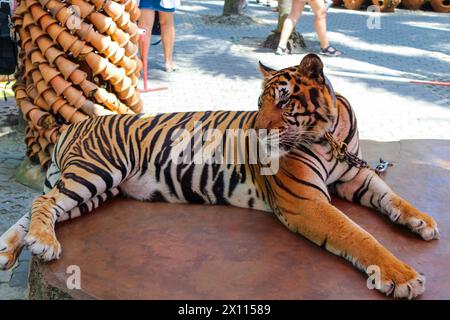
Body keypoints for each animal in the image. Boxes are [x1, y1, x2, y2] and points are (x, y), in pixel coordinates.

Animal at [0, 53, 438, 300]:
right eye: (259, 102)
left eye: (283, 101)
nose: (257, 132)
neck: (329, 133)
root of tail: (72, 125)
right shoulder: (306, 201)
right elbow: (358, 235)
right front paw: (402, 275)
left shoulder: (355, 177)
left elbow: (391, 196)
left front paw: (423, 220)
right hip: (97, 171)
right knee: (41, 201)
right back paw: (43, 243)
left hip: (94, 189)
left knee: (36, 208)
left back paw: (9, 250)